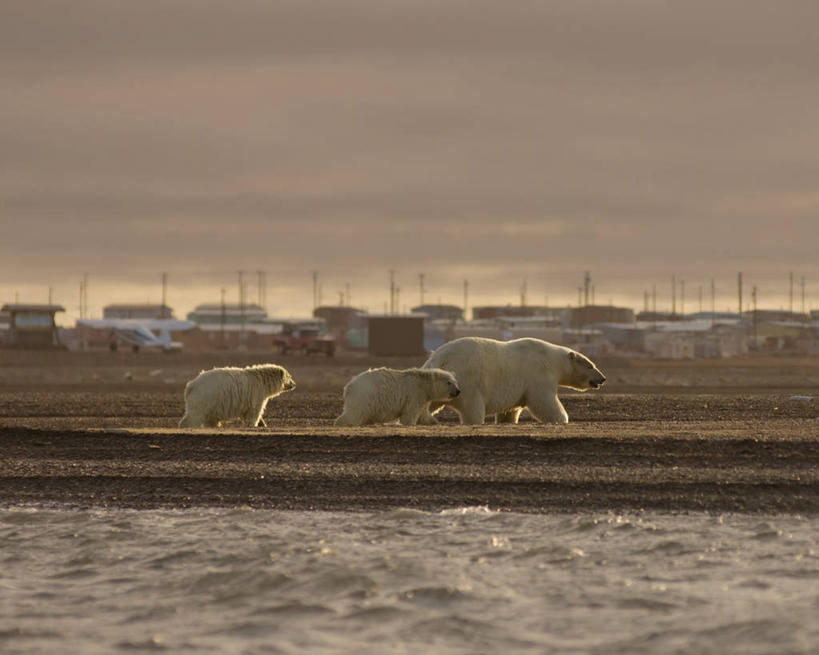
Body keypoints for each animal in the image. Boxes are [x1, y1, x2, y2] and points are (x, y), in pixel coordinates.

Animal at [334, 366, 462, 428]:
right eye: (449, 382)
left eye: (455, 382)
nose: (458, 391)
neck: (422, 382)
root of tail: (349, 386)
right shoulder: (414, 393)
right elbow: (410, 413)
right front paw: (410, 424)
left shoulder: (423, 397)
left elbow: (423, 414)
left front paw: (435, 422)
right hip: (365, 395)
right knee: (355, 412)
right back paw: (342, 423)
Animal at [420, 338, 604, 426]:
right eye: (590, 365)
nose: (602, 378)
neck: (552, 360)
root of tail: (440, 358)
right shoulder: (538, 375)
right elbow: (545, 402)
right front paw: (562, 419)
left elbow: (510, 410)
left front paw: (507, 420)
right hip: (468, 382)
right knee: (472, 408)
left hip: (438, 380)